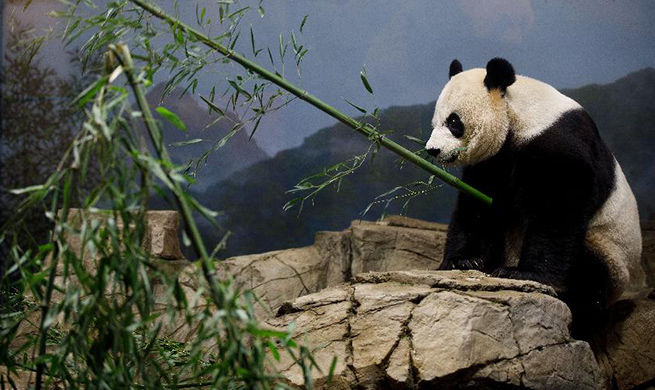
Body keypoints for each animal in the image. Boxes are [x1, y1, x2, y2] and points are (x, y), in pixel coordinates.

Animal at [428, 58, 644, 338]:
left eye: (454, 122)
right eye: (435, 122)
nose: (432, 150)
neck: (521, 115)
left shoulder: (558, 144)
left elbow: (558, 209)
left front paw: (524, 273)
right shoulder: (492, 162)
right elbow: (477, 209)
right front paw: (463, 260)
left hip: (610, 251)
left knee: (590, 275)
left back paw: (575, 308)